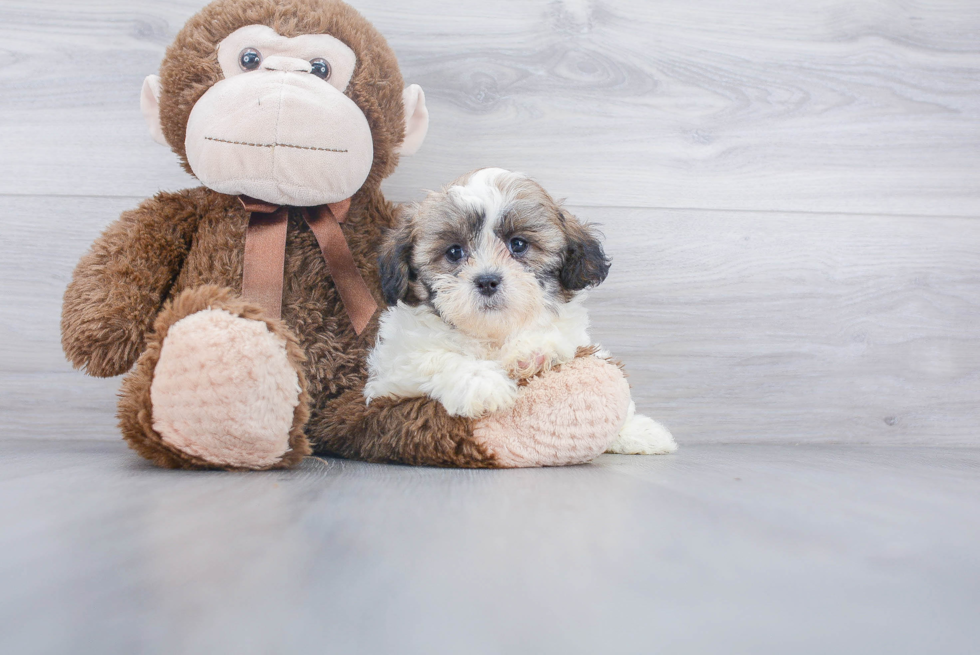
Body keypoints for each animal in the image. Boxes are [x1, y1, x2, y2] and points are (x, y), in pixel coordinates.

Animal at [364, 169, 676, 456]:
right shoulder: (391, 374)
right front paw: (482, 383)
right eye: (454, 252)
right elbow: (433, 357)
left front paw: (534, 352)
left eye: (518, 244)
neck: (493, 334)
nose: (487, 280)